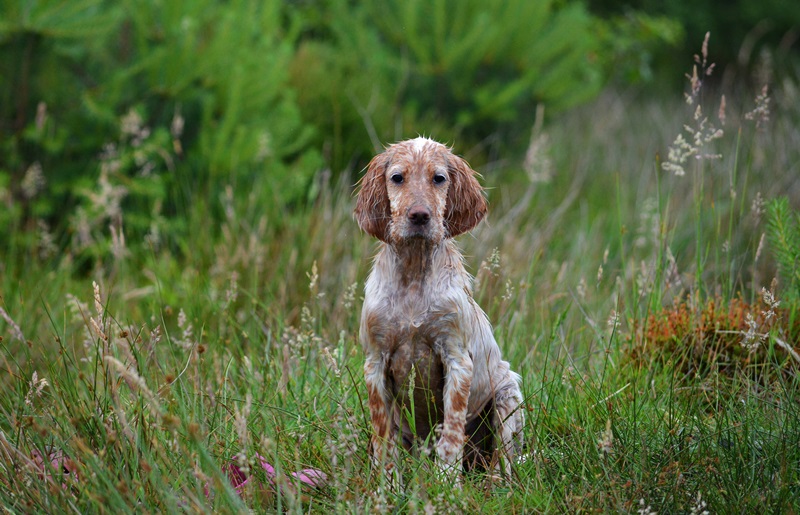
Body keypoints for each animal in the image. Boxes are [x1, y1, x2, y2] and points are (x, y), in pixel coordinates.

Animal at [356, 136, 524, 480]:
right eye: (397, 178)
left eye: (439, 178)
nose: (420, 216)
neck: (414, 273)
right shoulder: (375, 363)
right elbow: (383, 440)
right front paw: (387, 487)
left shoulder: (456, 359)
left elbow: (450, 435)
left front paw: (447, 485)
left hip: (507, 392)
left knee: (502, 460)